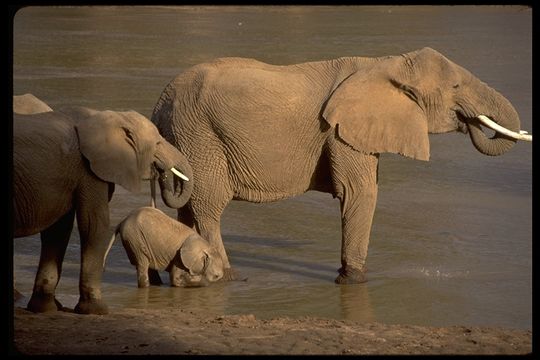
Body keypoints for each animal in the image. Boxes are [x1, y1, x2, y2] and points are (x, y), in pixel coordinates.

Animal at [12, 96, 195, 316]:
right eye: (158, 143)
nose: (162, 172)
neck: (109, 116)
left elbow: (58, 230)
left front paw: (46, 309)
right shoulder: (88, 170)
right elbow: (95, 224)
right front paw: (97, 310)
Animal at [152, 47, 532, 284]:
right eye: (455, 86)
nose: (473, 122)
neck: (386, 62)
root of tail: (160, 101)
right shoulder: (340, 131)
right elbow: (359, 193)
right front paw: (355, 281)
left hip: (185, 138)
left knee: (189, 207)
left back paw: (184, 280)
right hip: (200, 134)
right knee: (208, 206)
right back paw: (228, 277)